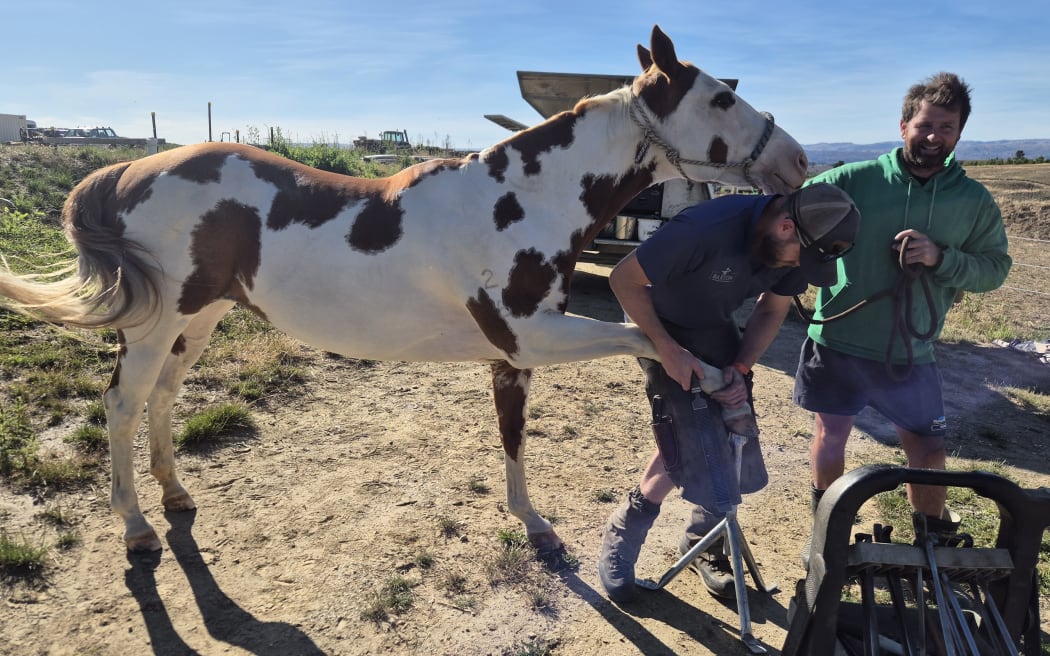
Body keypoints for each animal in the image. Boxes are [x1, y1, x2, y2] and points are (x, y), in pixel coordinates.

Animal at [0, 25, 808, 555]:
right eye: (721, 99)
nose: (797, 161)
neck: (522, 198)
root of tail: (128, 172)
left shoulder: (514, 358)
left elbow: (520, 435)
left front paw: (535, 521)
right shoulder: (532, 337)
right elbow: (643, 338)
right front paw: (699, 379)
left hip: (198, 318)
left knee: (164, 398)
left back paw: (174, 495)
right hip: (153, 325)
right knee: (123, 404)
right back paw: (137, 527)